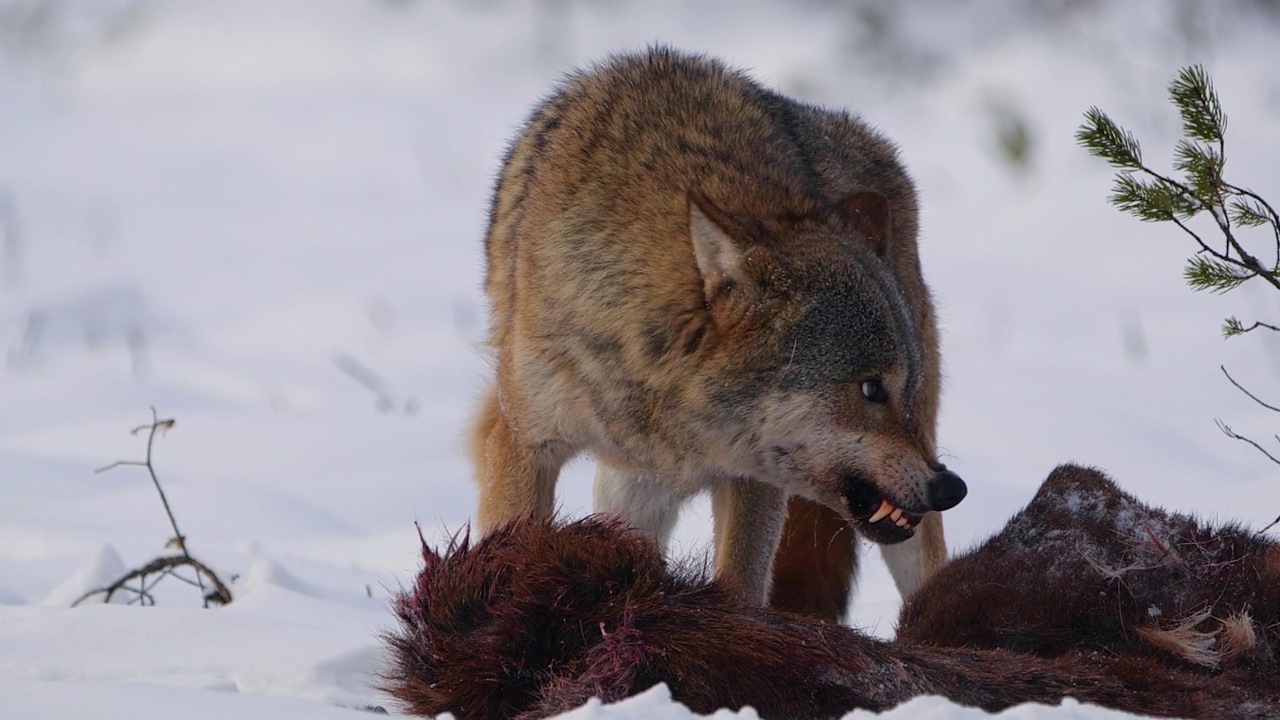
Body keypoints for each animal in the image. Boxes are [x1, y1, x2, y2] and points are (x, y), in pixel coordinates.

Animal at [468, 47, 962, 609]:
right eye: (870, 388)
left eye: (900, 387)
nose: (952, 488)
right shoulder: (523, 442)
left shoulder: (753, 477)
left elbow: (741, 583)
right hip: (626, 494)